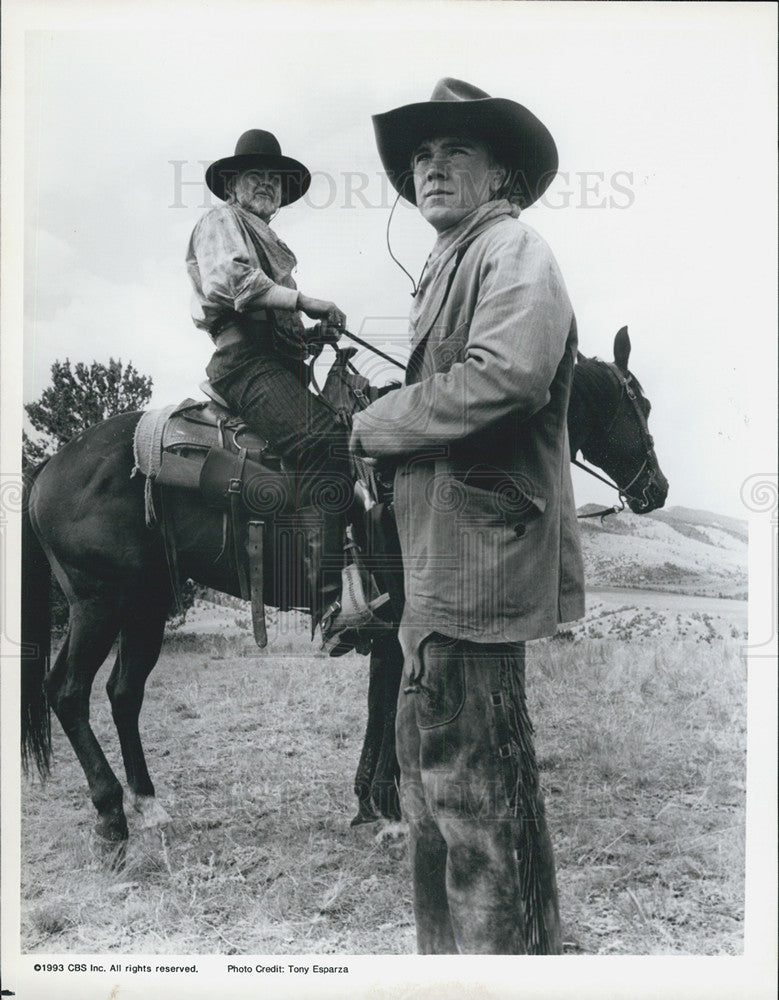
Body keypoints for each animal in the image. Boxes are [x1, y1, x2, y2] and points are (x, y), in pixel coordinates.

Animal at [21, 326, 668, 852]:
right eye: (641, 404)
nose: (656, 488)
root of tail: (50, 466)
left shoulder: (390, 630)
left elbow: (380, 706)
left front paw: (370, 803)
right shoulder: (397, 623)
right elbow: (386, 706)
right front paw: (389, 812)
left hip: (144, 604)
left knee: (122, 693)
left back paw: (149, 805)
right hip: (99, 603)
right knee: (68, 692)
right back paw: (111, 815)